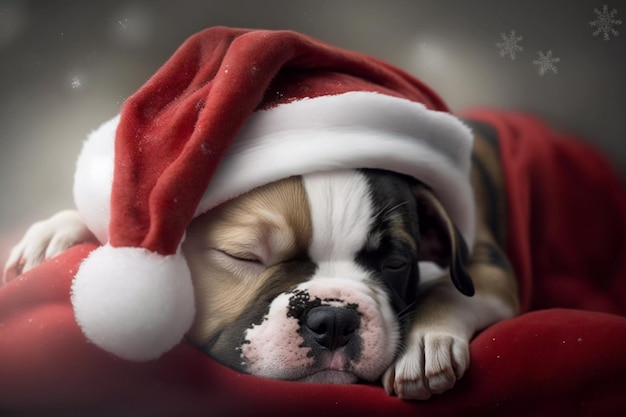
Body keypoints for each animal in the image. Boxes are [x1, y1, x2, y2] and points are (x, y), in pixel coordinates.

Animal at [1, 125, 516, 398]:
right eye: (243, 256)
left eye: (393, 263)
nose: (333, 320)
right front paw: (58, 232)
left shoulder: (489, 269)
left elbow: (451, 289)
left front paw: (423, 344)